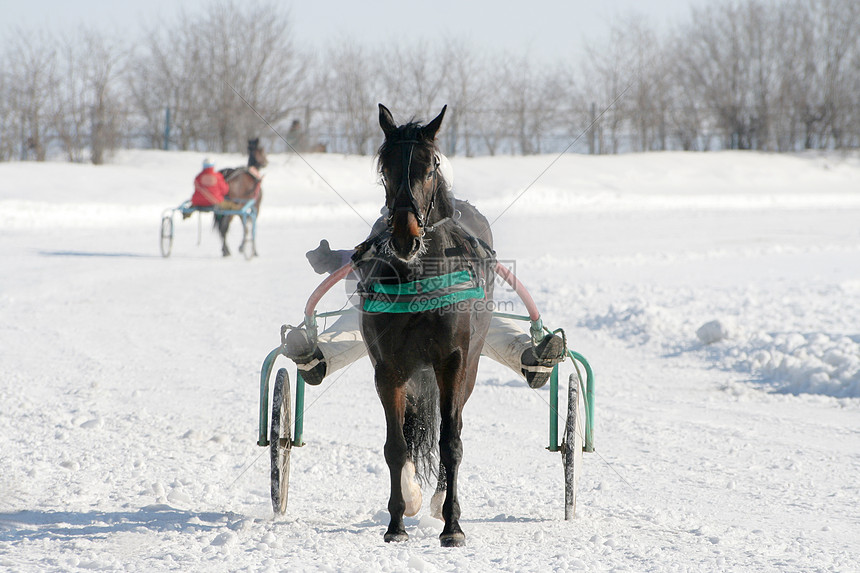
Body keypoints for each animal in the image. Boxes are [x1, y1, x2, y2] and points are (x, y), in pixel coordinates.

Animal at [352, 105, 494, 548]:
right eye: (386, 168)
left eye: (429, 166)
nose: (404, 237)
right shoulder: (389, 369)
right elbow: (396, 446)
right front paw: (396, 522)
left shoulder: (453, 362)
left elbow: (451, 442)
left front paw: (452, 525)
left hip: (468, 367)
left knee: (454, 427)